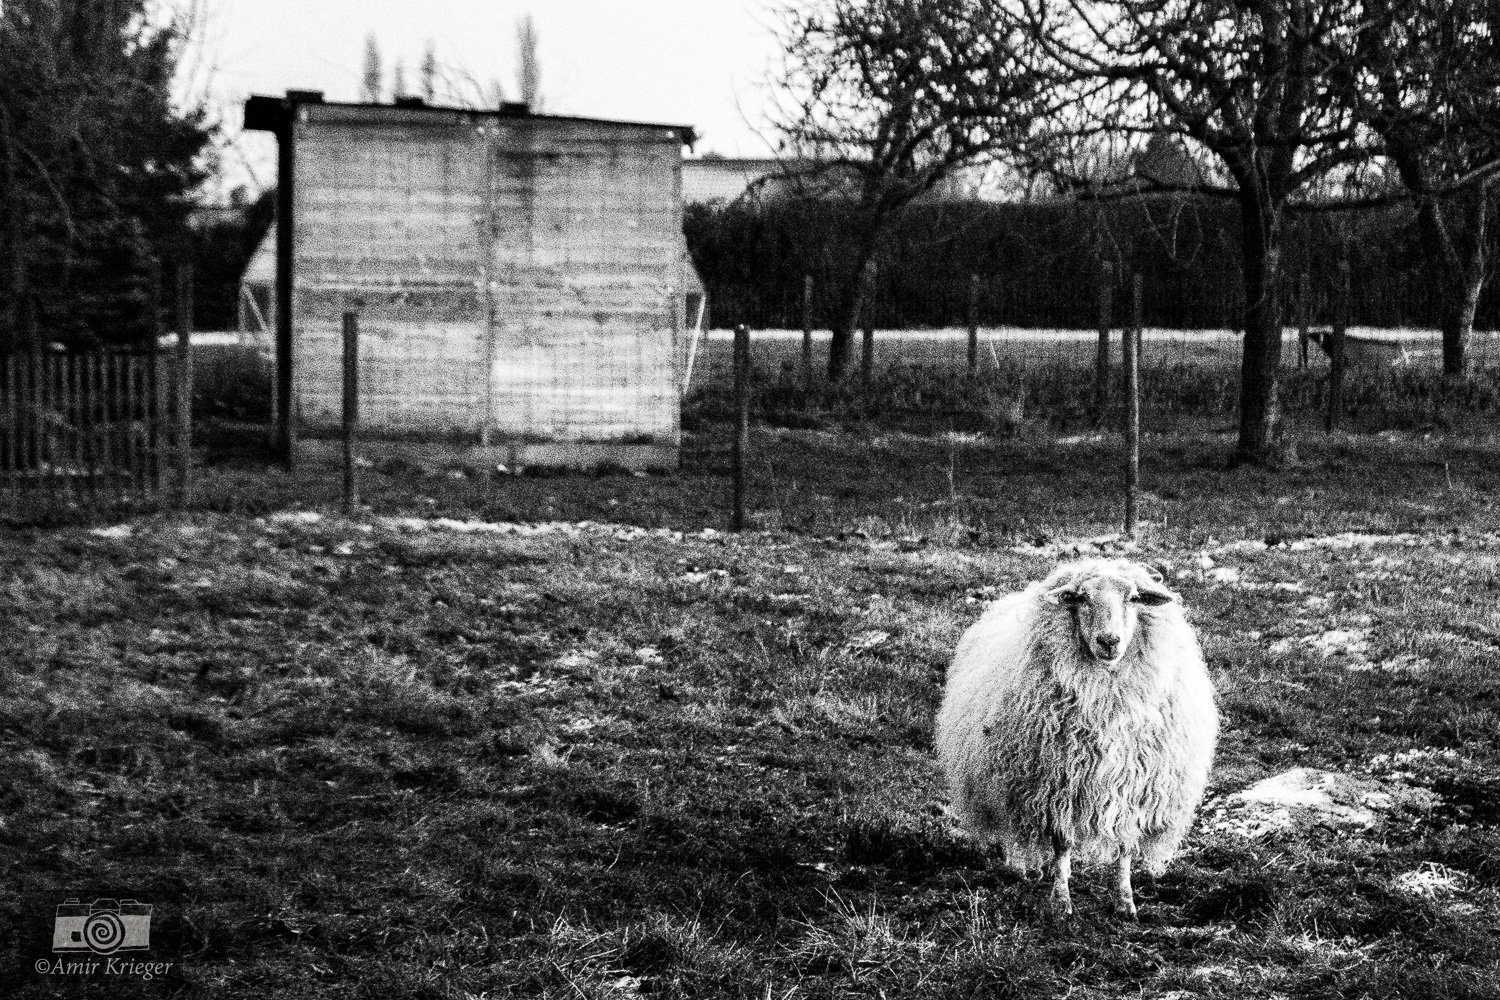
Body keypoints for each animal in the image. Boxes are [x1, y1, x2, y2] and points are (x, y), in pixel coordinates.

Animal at [936, 560, 1218, 917]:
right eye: (1080, 598)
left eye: (1134, 598)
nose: (1109, 640)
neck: (1106, 699)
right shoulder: (1056, 786)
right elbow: (1062, 845)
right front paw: (1061, 900)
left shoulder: (1134, 787)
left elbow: (1125, 848)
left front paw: (1124, 901)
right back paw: (1022, 866)